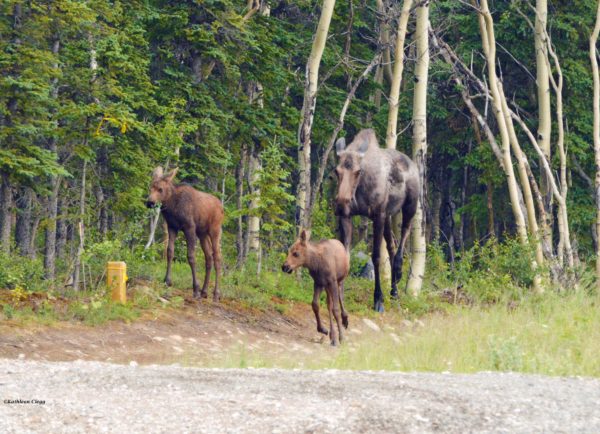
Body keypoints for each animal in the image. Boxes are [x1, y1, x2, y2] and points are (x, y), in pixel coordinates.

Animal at [146, 166, 224, 302]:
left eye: (160, 189)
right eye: (150, 187)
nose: (150, 202)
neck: (172, 206)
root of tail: (222, 208)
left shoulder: (189, 227)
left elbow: (191, 256)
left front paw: (195, 289)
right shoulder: (172, 227)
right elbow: (169, 251)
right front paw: (167, 280)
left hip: (215, 230)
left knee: (217, 258)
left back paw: (215, 294)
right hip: (202, 234)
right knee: (208, 257)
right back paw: (204, 291)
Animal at [336, 129, 420, 312]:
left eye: (357, 171)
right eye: (336, 171)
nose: (341, 202)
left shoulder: (378, 215)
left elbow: (376, 257)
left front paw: (378, 300)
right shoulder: (346, 216)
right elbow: (345, 255)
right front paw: (339, 297)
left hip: (410, 206)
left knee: (404, 233)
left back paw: (398, 272)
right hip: (388, 215)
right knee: (391, 246)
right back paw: (394, 292)